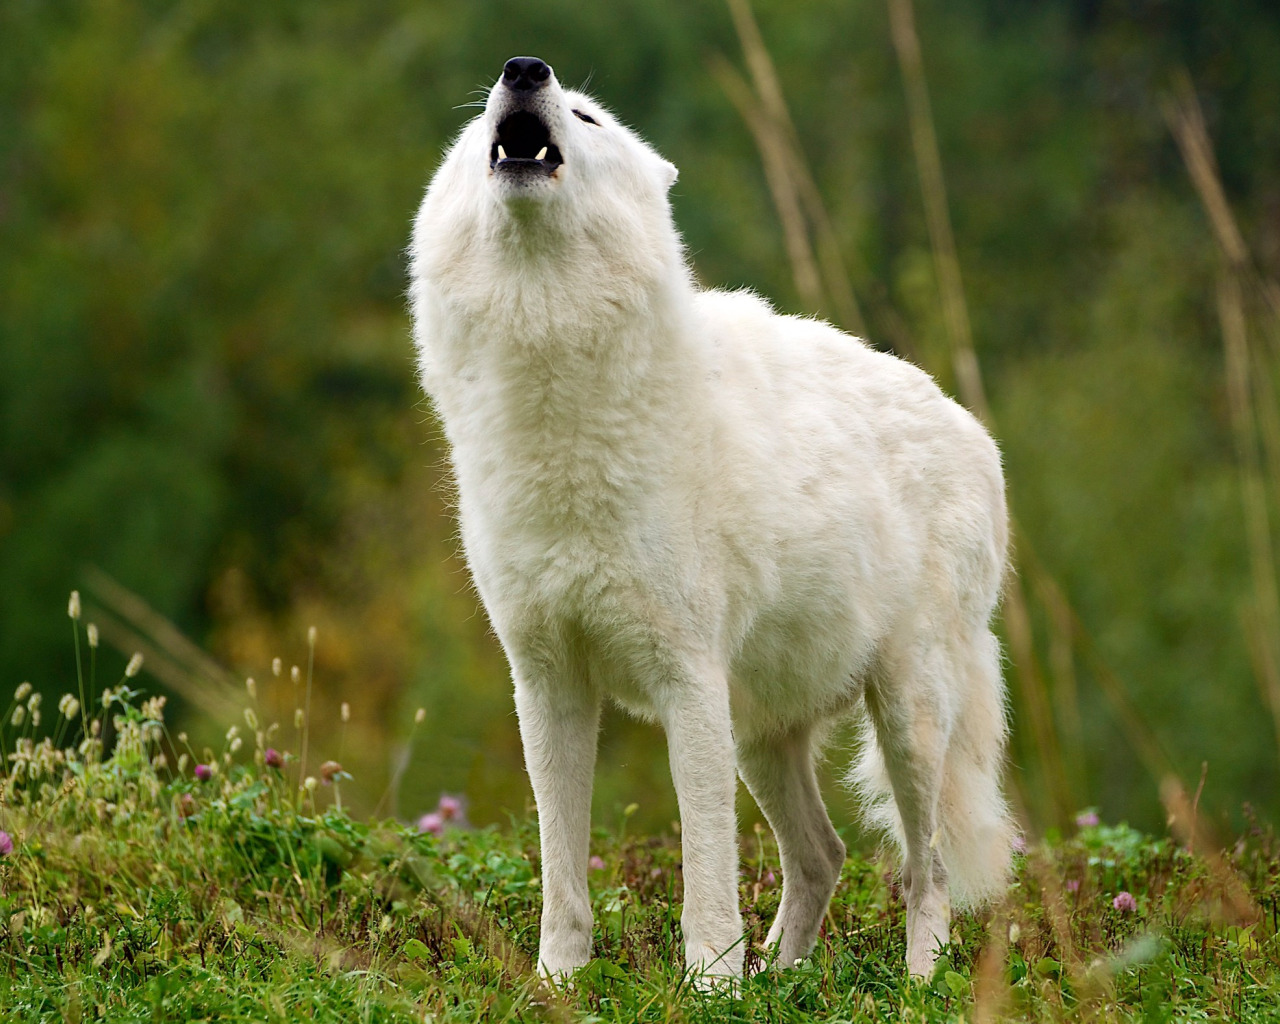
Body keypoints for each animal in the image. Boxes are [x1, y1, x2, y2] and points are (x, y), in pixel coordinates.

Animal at [409, 56, 1008, 983]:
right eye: (481, 124)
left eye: (587, 116)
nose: (524, 69)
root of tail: (972, 428)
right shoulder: (547, 685)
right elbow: (561, 872)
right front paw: (557, 982)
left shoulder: (685, 680)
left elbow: (705, 869)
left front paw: (712, 985)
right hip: (761, 735)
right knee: (824, 855)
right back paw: (786, 980)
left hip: (904, 720)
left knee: (925, 867)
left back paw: (913, 984)